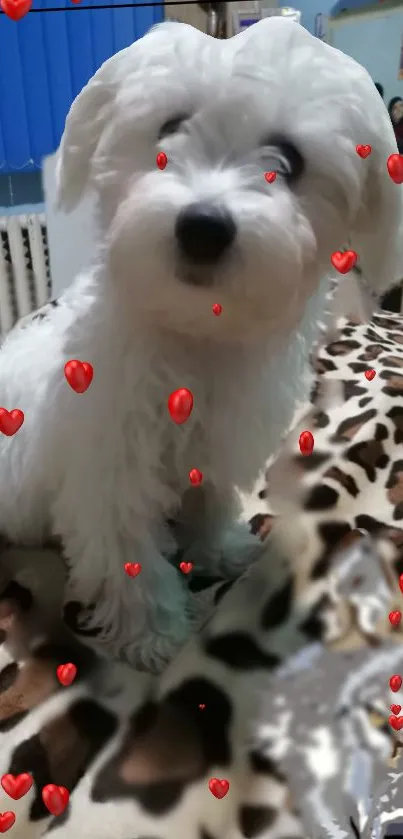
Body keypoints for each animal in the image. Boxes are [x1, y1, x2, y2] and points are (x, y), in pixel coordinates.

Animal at [0, 19, 402, 672]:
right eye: (167, 130)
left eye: (289, 161)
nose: (203, 227)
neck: (196, 334)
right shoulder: (109, 470)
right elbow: (129, 557)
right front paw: (154, 635)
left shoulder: (220, 444)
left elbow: (209, 501)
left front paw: (218, 550)